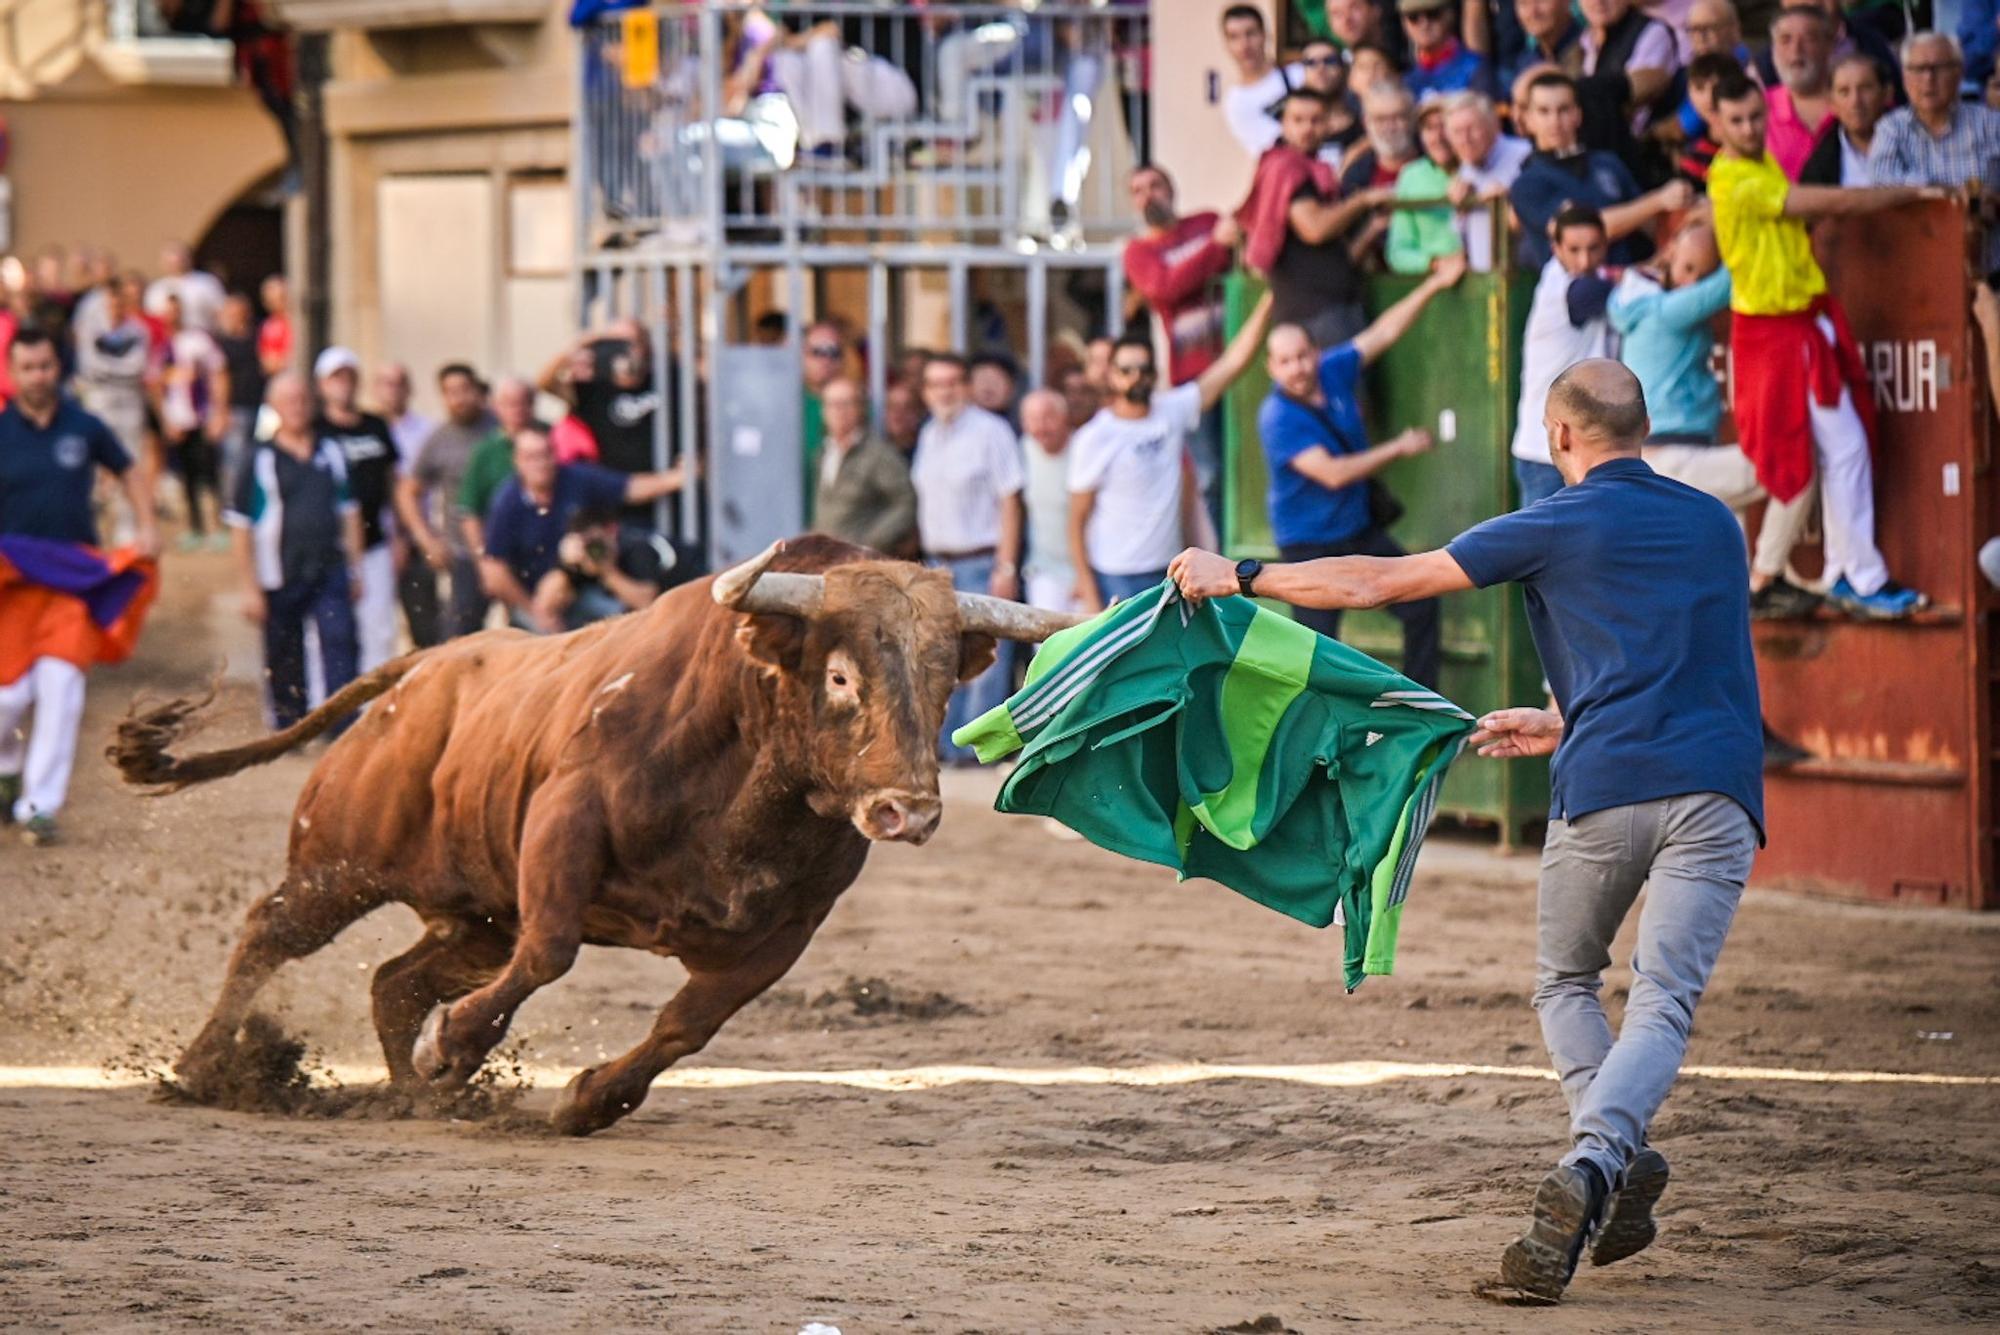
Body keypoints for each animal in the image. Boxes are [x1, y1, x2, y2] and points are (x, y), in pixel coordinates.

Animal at [113, 535, 1080, 1135]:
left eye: (942, 680)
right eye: (840, 675)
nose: (905, 811)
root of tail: (419, 669)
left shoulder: (785, 930)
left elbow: (688, 1025)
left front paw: (586, 1100)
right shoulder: (563, 824)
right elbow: (552, 952)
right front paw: (454, 1044)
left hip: (473, 914)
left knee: (394, 980)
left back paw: (414, 1095)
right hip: (339, 863)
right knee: (270, 931)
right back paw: (202, 1066)